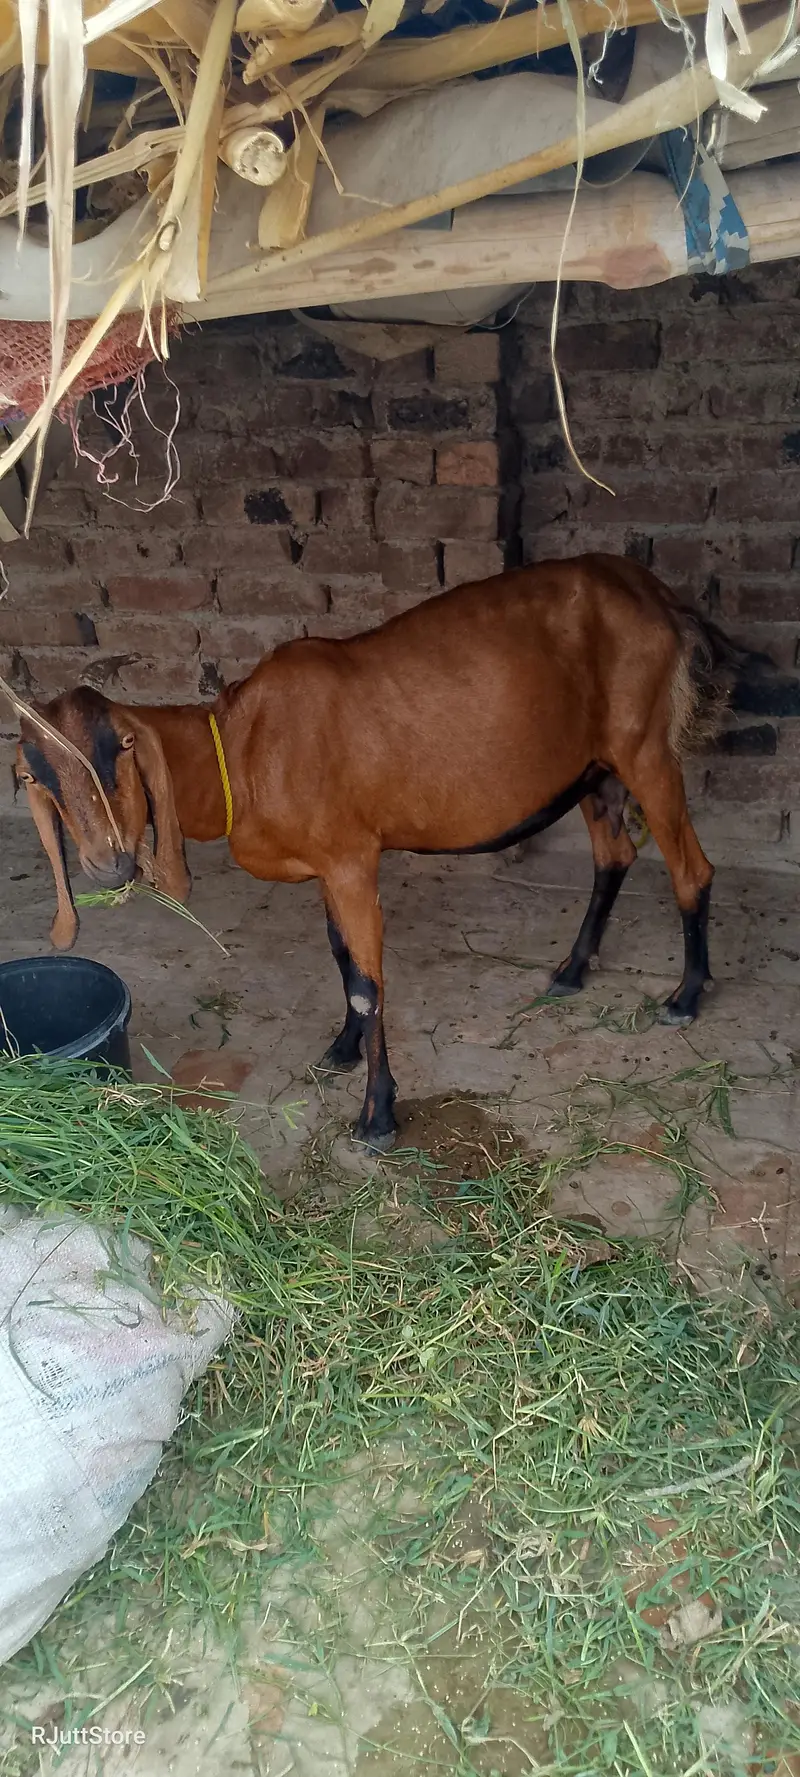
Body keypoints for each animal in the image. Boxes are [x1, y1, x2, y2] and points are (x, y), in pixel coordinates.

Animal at [16, 553, 736, 1150]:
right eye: (38, 778)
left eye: (119, 749)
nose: (108, 864)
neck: (245, 749)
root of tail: (654, 592)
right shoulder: (326, 867)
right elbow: (342, 958)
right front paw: (343, 1049)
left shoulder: (351, 860)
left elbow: (368, 984)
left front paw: (377, 1117)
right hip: (593, 768)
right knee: (613, 855)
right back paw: (572, 969)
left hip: (644, 746)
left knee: (691, 866)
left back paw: (686, 995)